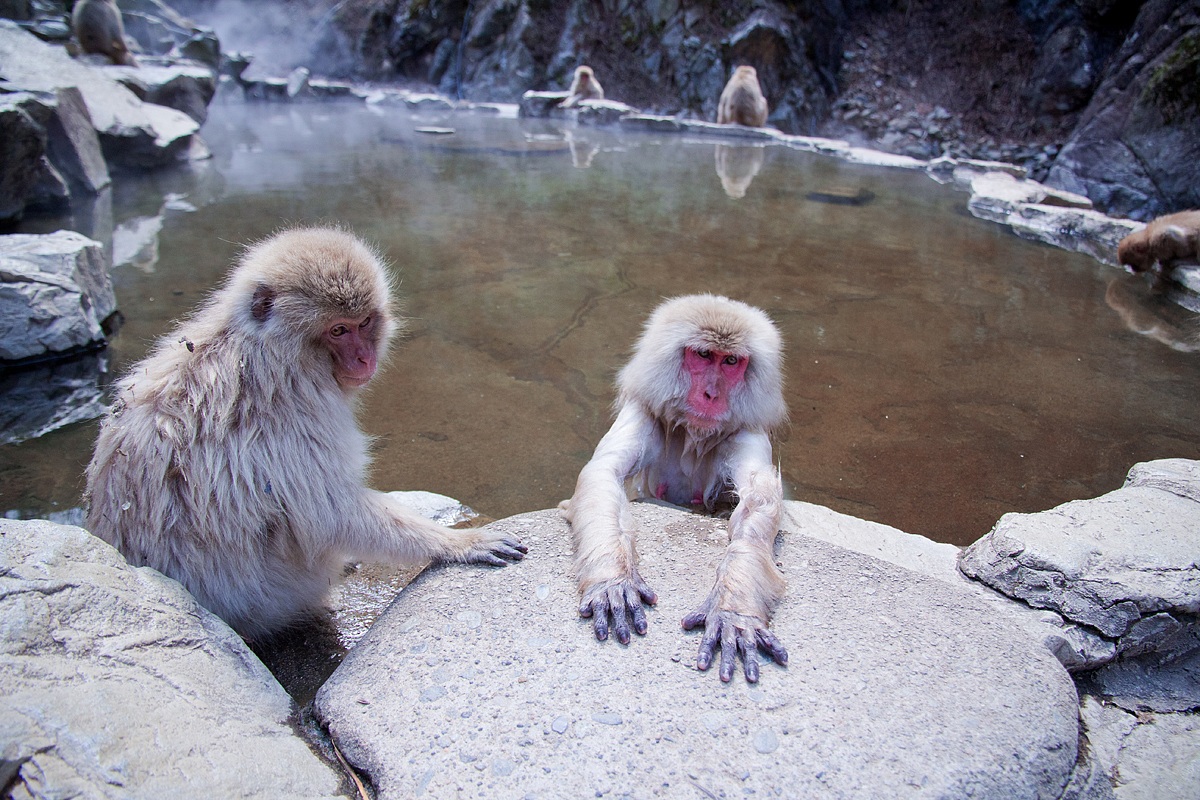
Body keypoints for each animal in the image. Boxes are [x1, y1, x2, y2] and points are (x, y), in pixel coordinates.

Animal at [85, 227, 526, 640]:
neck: (269, 347)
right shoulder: (295, 408)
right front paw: (458, 543)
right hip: (277, 592)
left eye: (364, 323)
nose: (364, 359)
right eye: (338, 330)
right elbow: (327, 511)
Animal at [562, 295, 789, 683]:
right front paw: (612, 581)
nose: (711, 395)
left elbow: (758, 502)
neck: (694, 434)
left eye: (731, 361)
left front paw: (734, 612)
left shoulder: (745, 430)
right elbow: (603, 473)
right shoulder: (645, 411)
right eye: (703, 355)